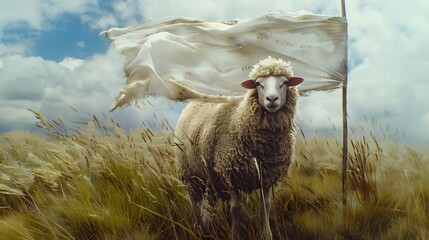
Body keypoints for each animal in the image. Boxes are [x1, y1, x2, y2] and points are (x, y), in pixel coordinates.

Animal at [173, 56, 300, 238]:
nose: (272, 99)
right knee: (195, 202)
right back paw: (200, 228)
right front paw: (235, 235)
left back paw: (207, 226)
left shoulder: (266, 176)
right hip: (189, 173)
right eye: (258, 84)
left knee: (209, 202)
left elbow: (266, 206)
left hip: (210, 178)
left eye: (284, 82)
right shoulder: (231, 173)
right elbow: (235, 209)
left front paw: (267, 234)